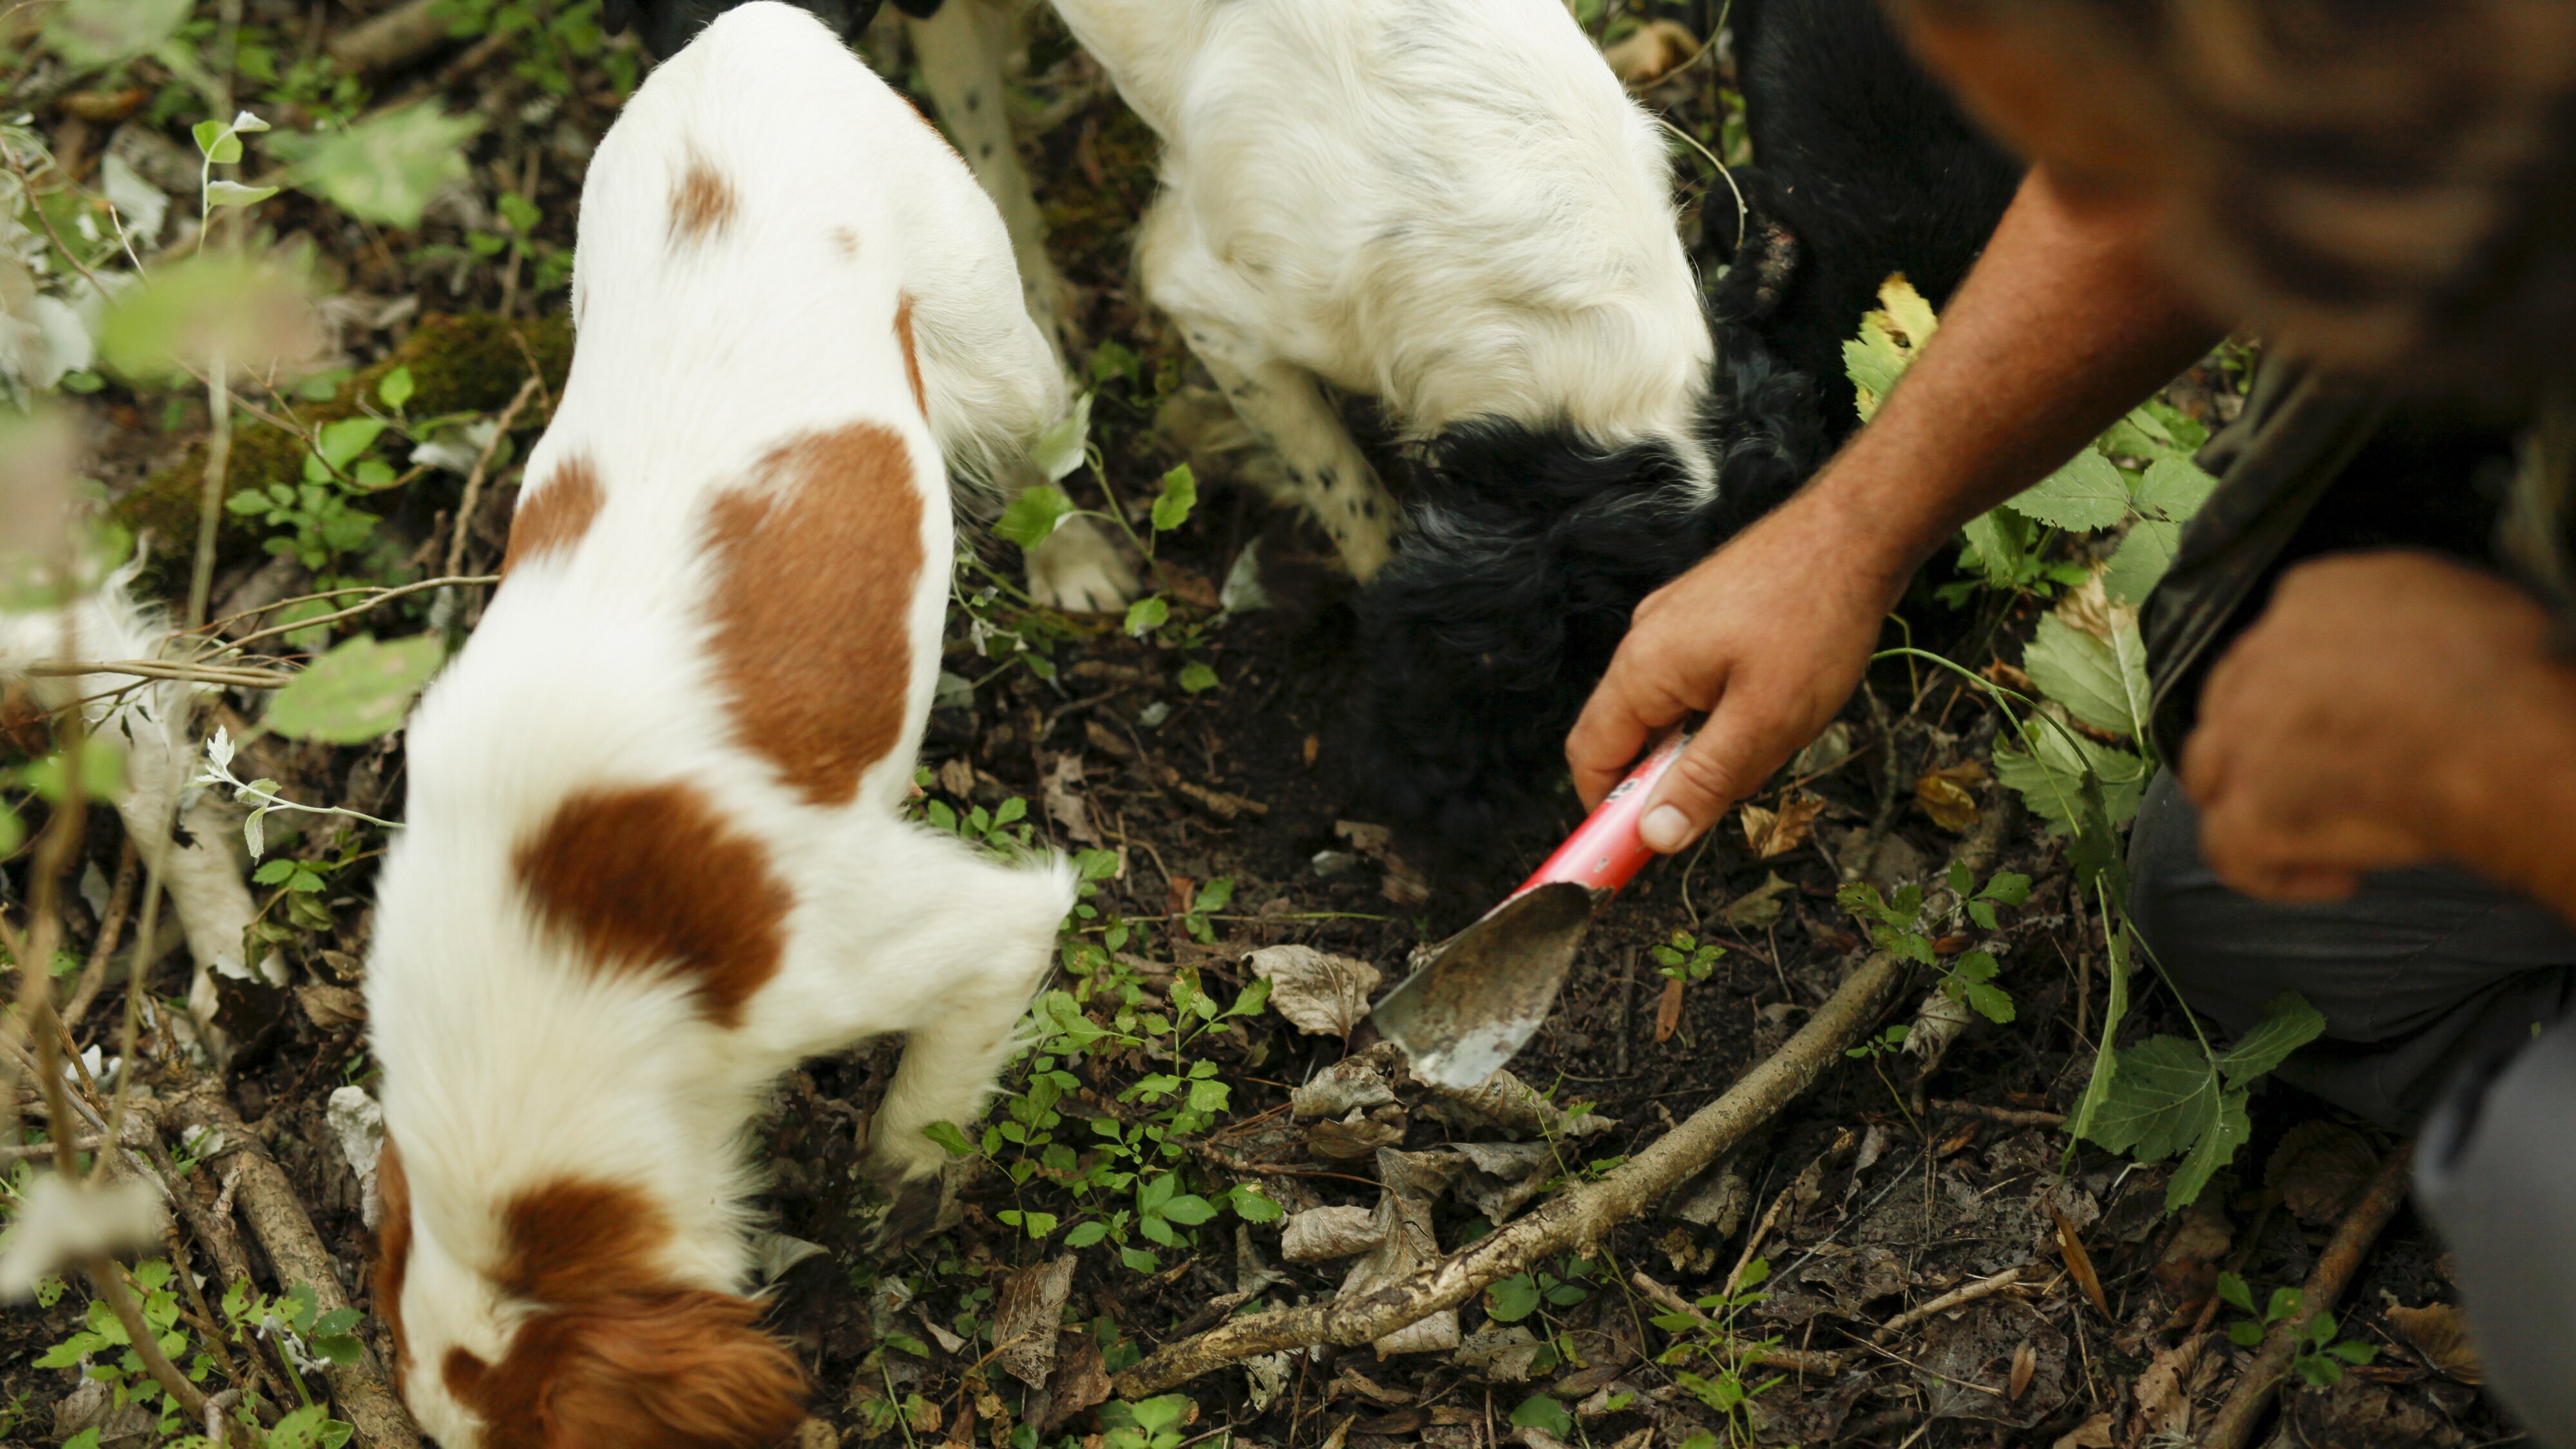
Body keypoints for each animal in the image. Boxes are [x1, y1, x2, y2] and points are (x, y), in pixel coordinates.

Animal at [368, 8, 1072, 1433]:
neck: (555, 956)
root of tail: (750, 26)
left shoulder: (926, 941)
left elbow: (928, 1105)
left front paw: (896, 1192)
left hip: (988, 333)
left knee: (1054, 441)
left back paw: (1093, 567)